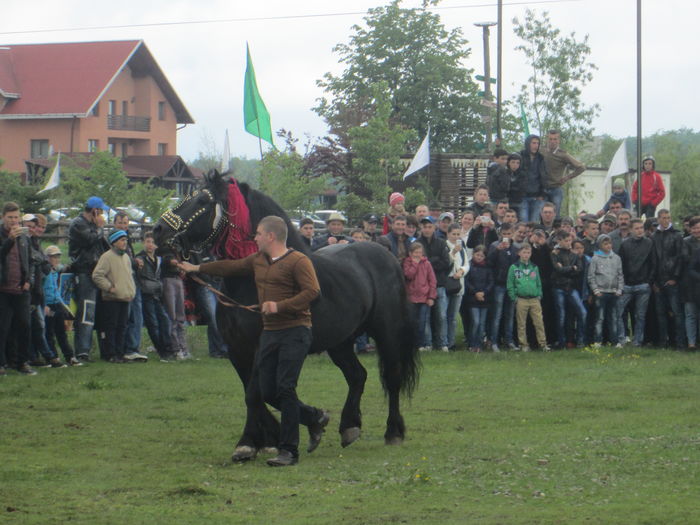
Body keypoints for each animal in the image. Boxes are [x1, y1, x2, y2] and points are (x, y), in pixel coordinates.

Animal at [153, 171, 416, 458]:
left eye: (202, 200)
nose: (158, 230)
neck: (249, 280)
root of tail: (386, 255)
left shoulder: (261, 346)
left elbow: (256, 394)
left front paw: (250, 441)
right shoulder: (236, 348)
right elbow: (255, 393)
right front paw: (271, 436)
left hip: (387, 332)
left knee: (392, 377)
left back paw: (393, 432)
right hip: (340, 341)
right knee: (357, 375)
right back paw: (349, 426)